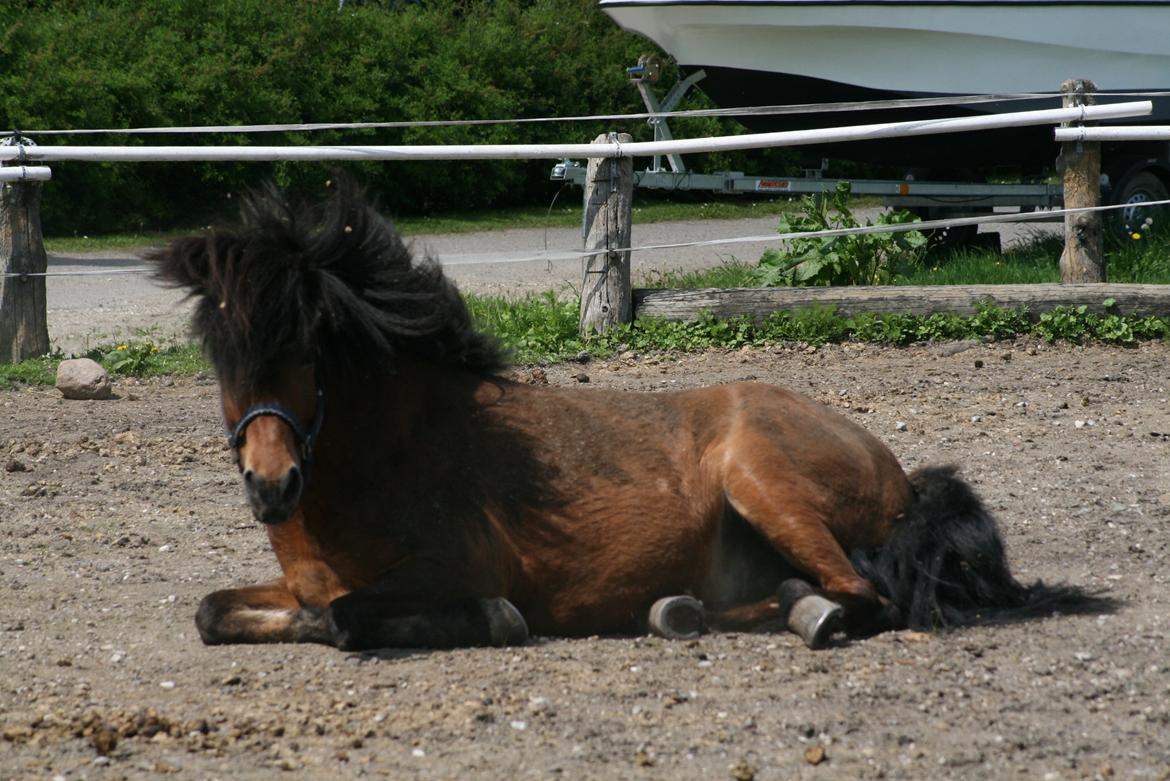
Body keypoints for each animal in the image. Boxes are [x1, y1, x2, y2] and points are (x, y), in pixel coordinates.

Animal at [150, 183, 1109, 654]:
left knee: (857, 595)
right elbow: (214, 610)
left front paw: (494, 621)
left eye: (307, 351)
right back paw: (692, 608)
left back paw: (771, 613)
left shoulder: (452, 566)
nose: (271, 485)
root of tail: (901, 475)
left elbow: (349, 619)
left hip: (760, 478)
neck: (384, 460)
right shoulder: (300, 580)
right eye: (220, 355)